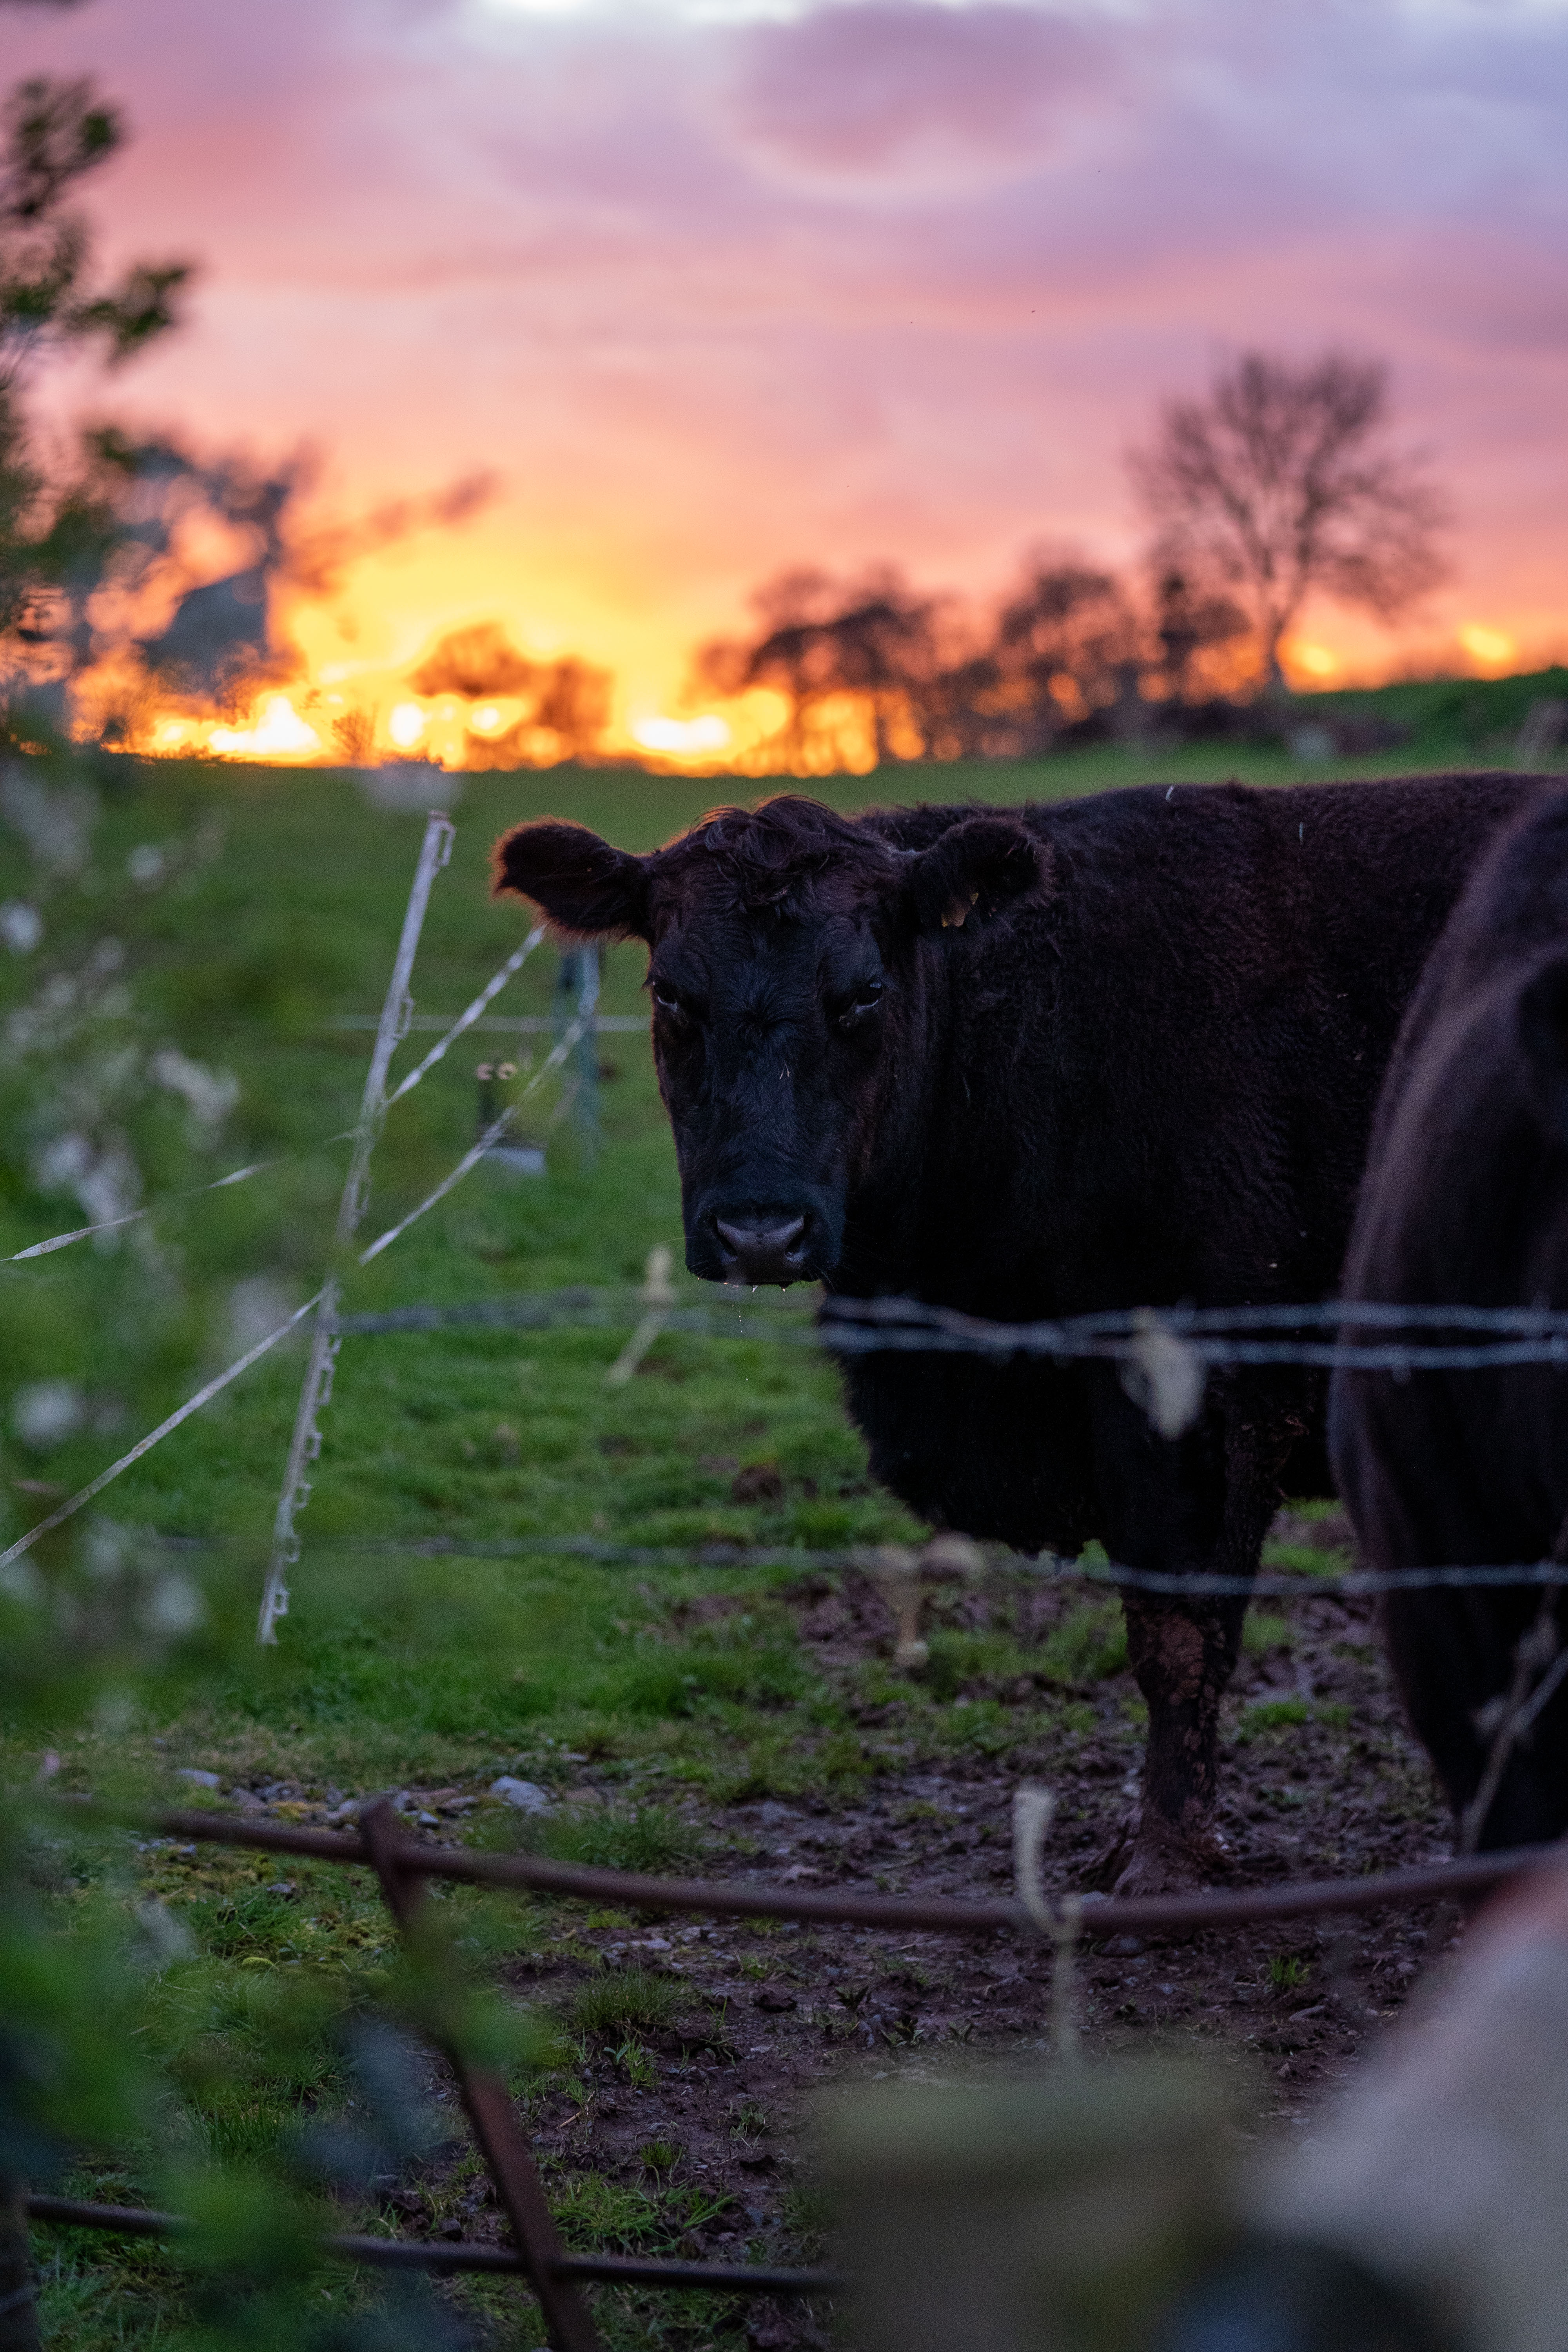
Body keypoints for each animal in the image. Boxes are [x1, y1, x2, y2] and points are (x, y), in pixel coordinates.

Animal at [495, 773, 1544, 1892]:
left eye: (864, 992)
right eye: (669, 996)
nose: (759, 1229)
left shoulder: (1196, 1393)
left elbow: (1179, 1633)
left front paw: (1167, 1854)